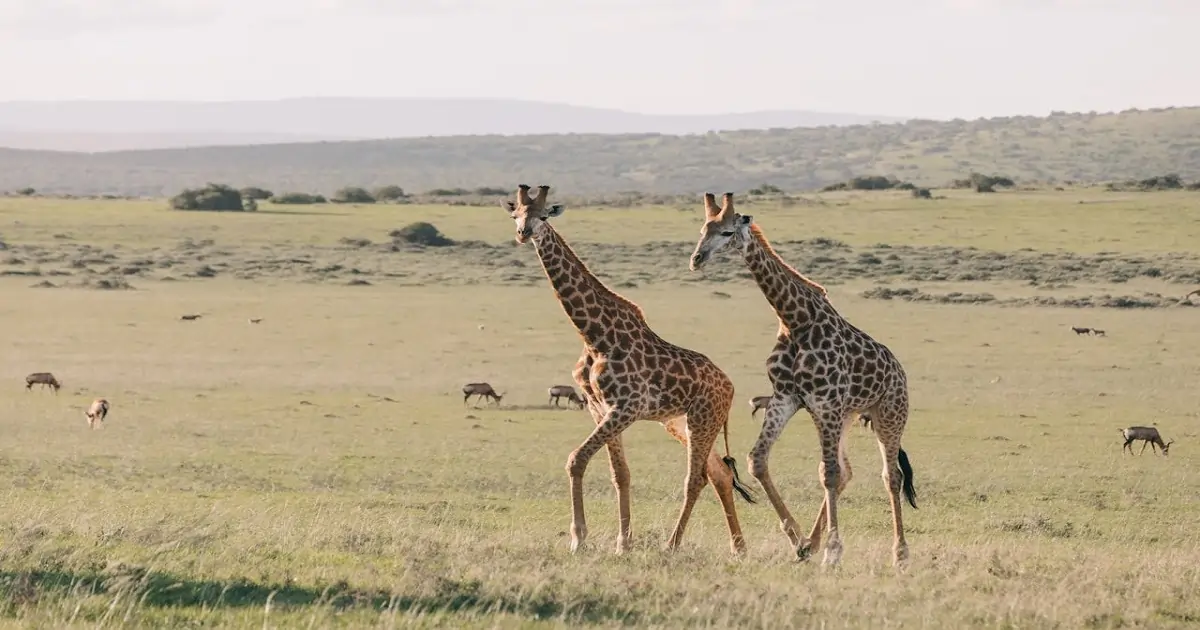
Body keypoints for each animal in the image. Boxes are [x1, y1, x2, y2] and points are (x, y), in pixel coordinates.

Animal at [503, 184, 756, 555]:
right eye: (516, 215)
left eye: (544, 215)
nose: (524, 233)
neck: (594, 336)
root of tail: (731, 387)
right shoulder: (599, 408)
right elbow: (620, 473)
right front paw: (623, 542)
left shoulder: (627, 407)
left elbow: (576, 459)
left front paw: (579, 539)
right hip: (682, 423)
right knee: (720, 474)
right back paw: (738, 547)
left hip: (703, 418)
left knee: (697, 477)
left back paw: (673, 545)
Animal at [688, 192, 918, 567]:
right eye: (703, 229)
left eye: (726, 232)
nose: (696, 259)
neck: (794, 320)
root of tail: (899, 373)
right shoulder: (788, 397)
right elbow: (758, 460)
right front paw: (798, 540)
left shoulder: (825, 402)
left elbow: (828, 473)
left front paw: (833, 552)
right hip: (846, 416)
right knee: (847, 471)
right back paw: (812, 541)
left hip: (889, 415)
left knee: (890, 475)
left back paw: (899, 553)